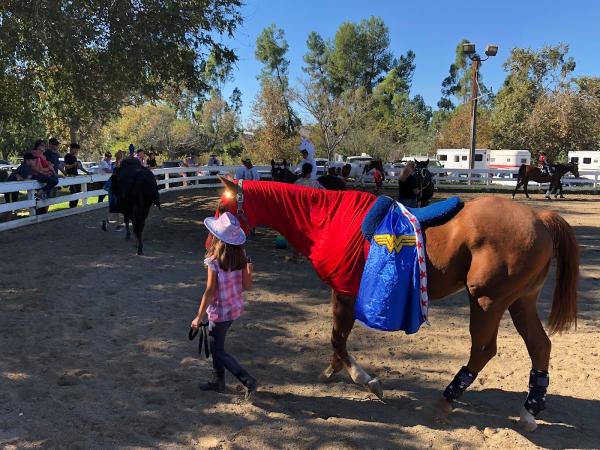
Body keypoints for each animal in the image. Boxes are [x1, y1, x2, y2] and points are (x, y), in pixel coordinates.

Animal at [218, 178, 580, 430]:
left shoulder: (345, 293)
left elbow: (338, 338)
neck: (327, 220)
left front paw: (364, 379)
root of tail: (539, 218)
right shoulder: (342, 293)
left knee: (483, 350)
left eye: (224, 212)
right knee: (540, 346)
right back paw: (530, 410)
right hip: (521, 301)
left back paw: (447, 400)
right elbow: (337, 339)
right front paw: (334, 370)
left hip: (487, 300)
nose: (219, 252)